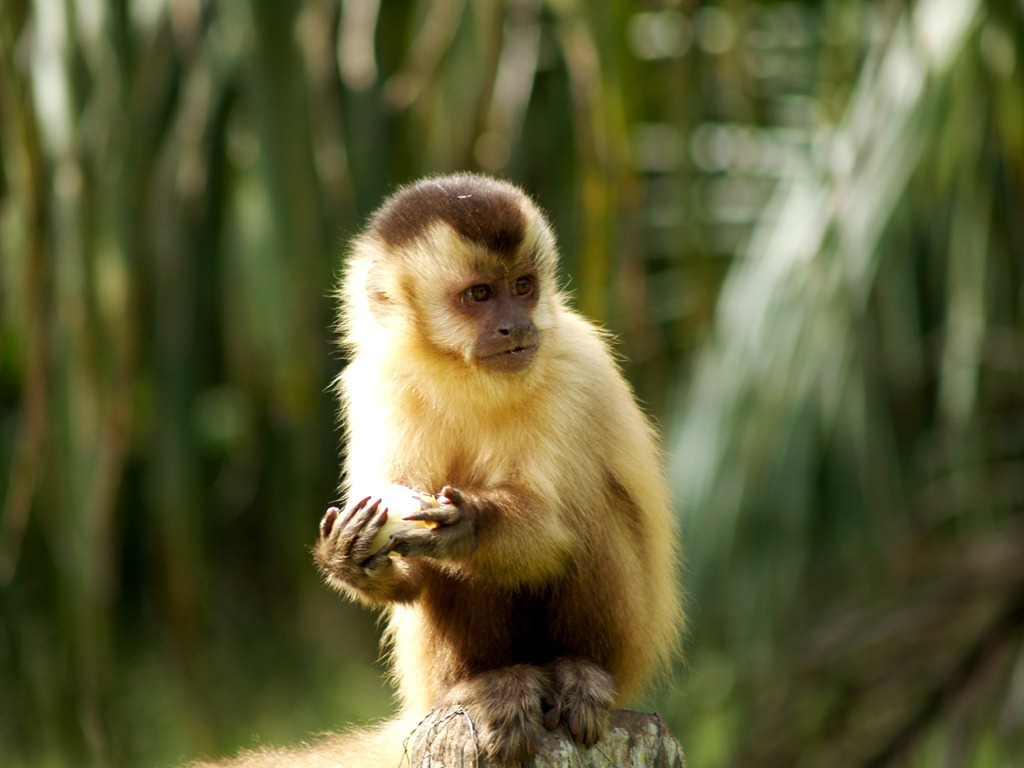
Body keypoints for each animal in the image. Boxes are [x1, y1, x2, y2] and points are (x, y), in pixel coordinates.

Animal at [190, 176, 688, 768]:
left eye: (523, 287)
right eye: (480, 295)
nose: (516, 326)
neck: (463, 372)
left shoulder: (573, 370)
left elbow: (549, 532)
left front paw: (469, 524)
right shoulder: (378, 381)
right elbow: (412, 569)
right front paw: (350, 558)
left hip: (630, 651)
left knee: (587, 509)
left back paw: (579, 670)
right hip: (430, 685)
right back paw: (488, 683)